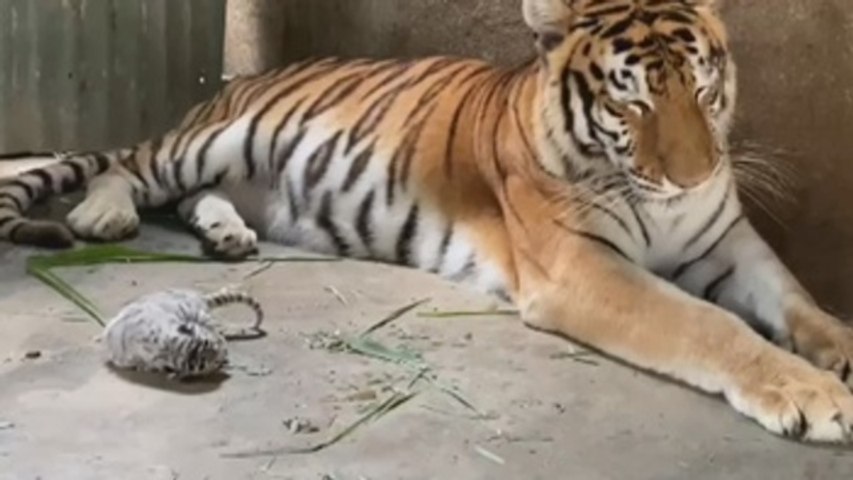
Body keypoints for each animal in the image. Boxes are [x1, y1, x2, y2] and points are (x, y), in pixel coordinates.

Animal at [2, 0, 853, 443]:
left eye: (704, 91)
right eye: (630, 99)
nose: (694, 176)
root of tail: (233, 83)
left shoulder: (729, 245)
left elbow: (800, 305)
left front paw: (836, 353)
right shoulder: (579, 265)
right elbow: (707, 327)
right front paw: (811, 395)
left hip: (240, 174)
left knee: (194, 198)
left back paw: (227, 234)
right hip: (209, 141)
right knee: (130, 166)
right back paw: (103, 214)